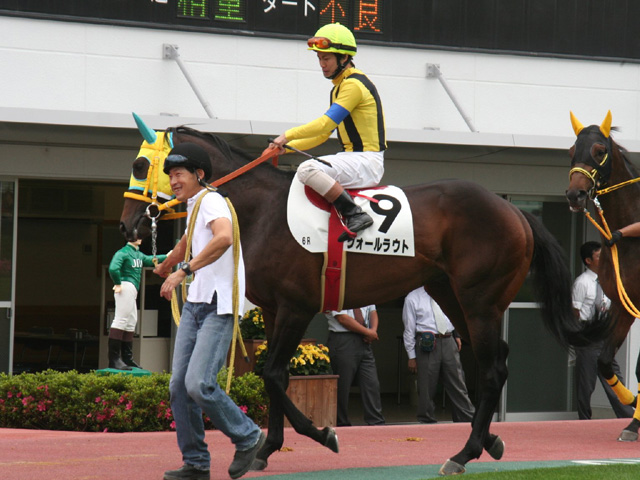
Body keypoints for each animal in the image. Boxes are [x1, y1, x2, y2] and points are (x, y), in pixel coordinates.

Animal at [119, 120, 583, 476]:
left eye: (140, 164)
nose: (127, 225)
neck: (262, 209)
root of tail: (516, 211)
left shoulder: (296, 307)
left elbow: (273, 374)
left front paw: (321, 434)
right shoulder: (272, 309)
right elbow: (275, 377)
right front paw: (268, 449)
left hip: (480, 302)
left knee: (490, 370)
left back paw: (462, 454)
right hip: (452, 295)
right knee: (495, 361)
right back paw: (490, 440)